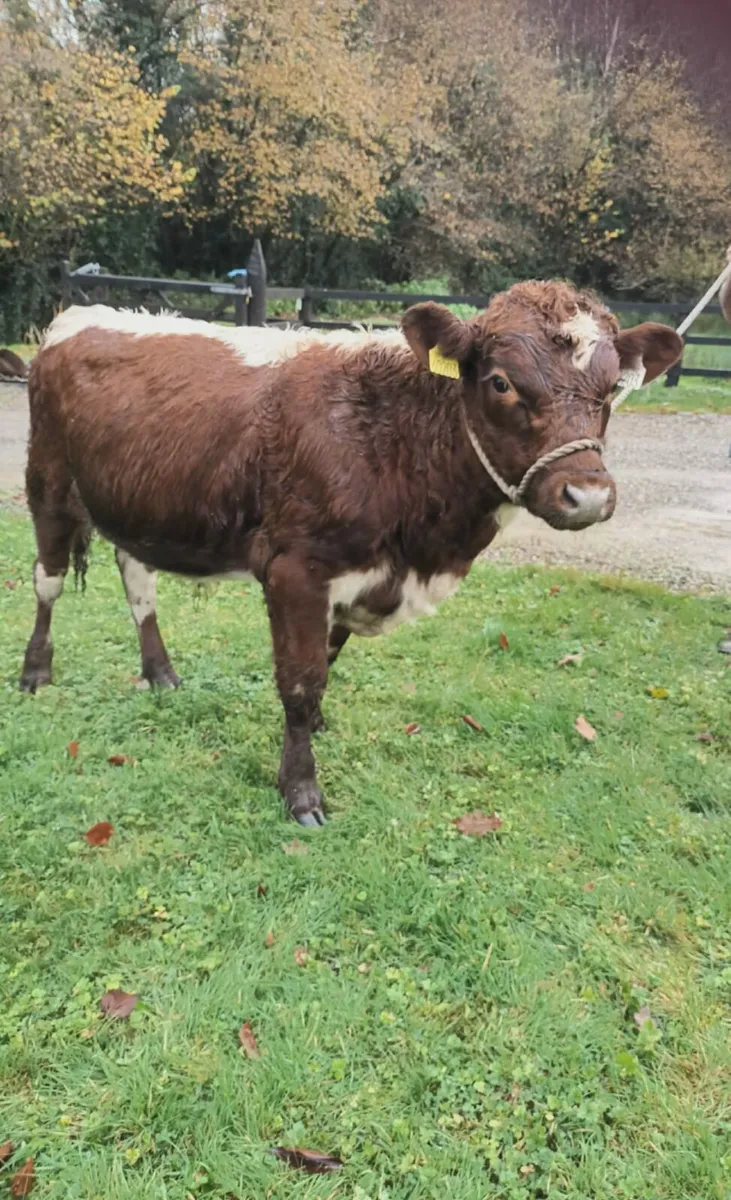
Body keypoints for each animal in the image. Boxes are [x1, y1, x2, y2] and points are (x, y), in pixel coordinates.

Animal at [19, 282, 682, 825]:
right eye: (500, 382)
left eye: (612, 389)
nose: (587, 494)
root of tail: (83, 315)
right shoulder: (294, 569)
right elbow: (301, 679)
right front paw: (300, 790)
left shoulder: (361, 574)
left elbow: (329, 661)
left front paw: (314, 730)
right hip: (47, 482)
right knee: (47, 580)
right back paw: (35, 673)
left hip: (134, 502)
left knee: (137, 578)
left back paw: (160, 674)